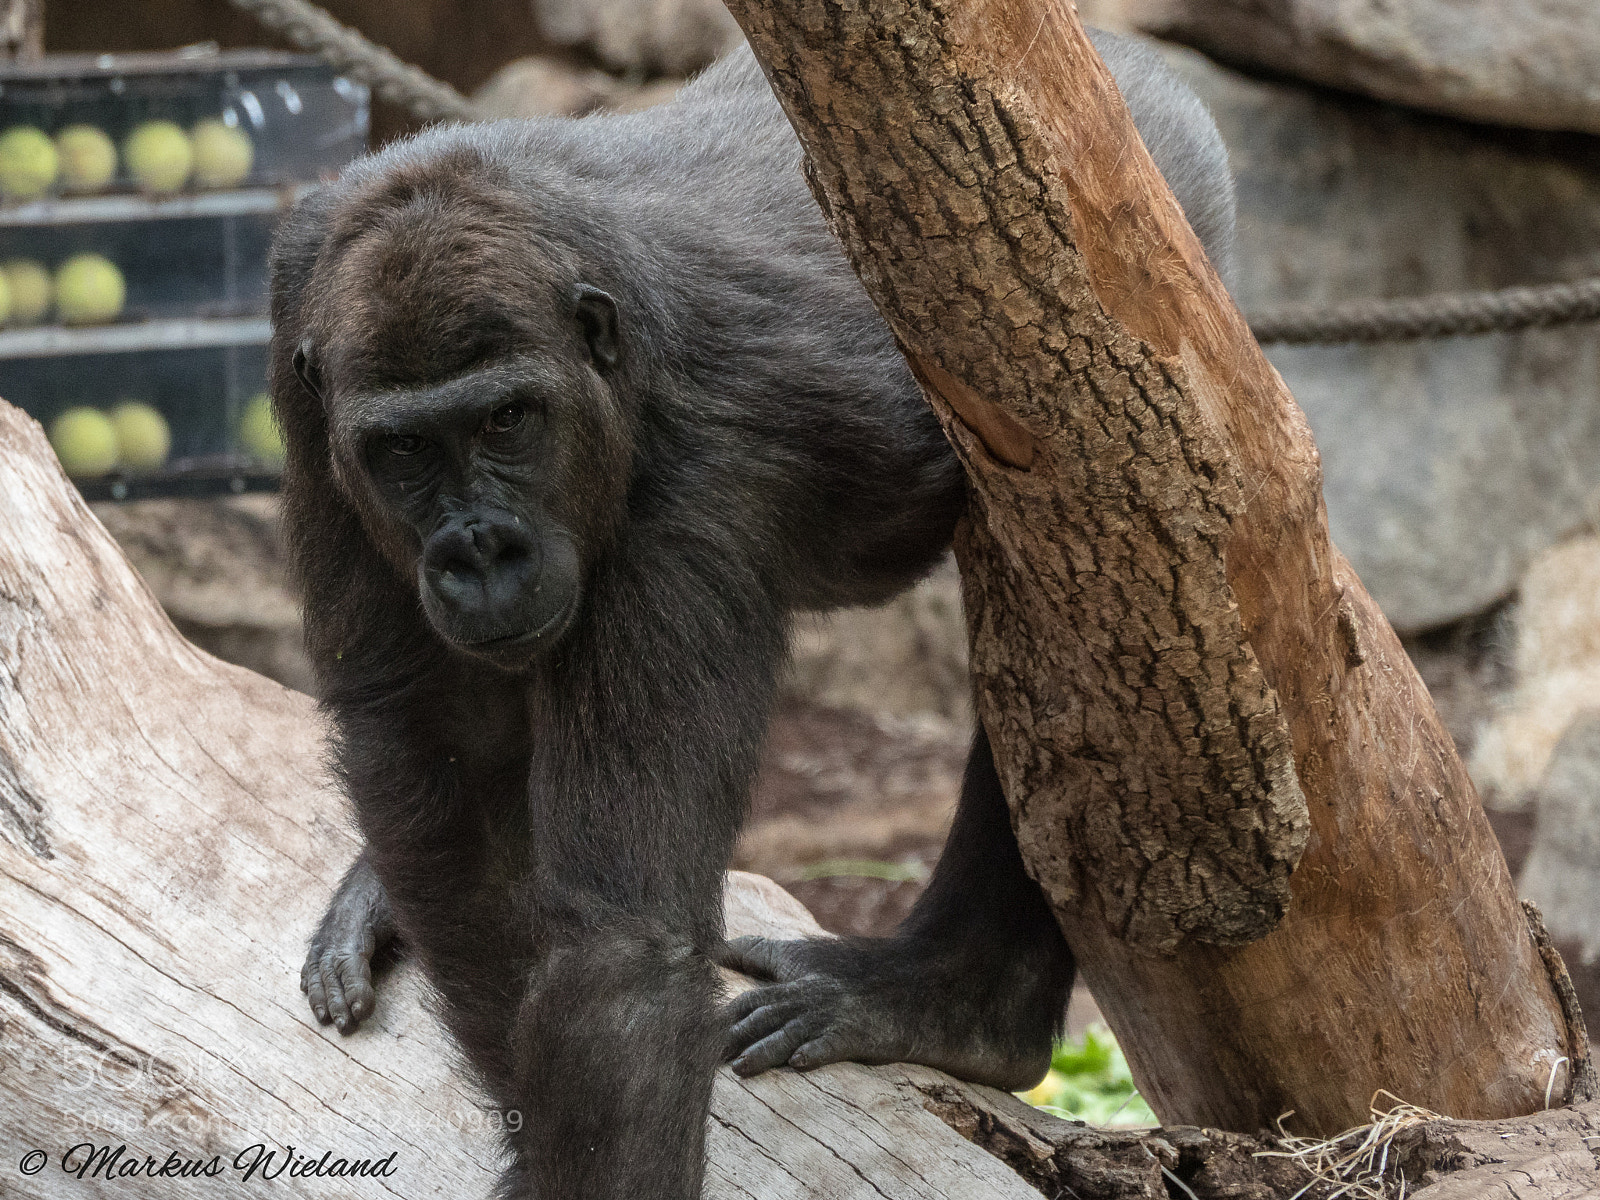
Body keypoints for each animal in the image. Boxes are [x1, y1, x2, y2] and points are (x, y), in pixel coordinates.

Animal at [279, 32, 1234, 1199]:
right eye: (405, 449)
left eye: (508, 420)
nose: (478, 551)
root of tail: (1118, 55)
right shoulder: (301, 344)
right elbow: (440, 779)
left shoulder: (694, 486)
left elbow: (624, 959)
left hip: (1130, 270)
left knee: (1085, 636)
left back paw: (959, 1003)